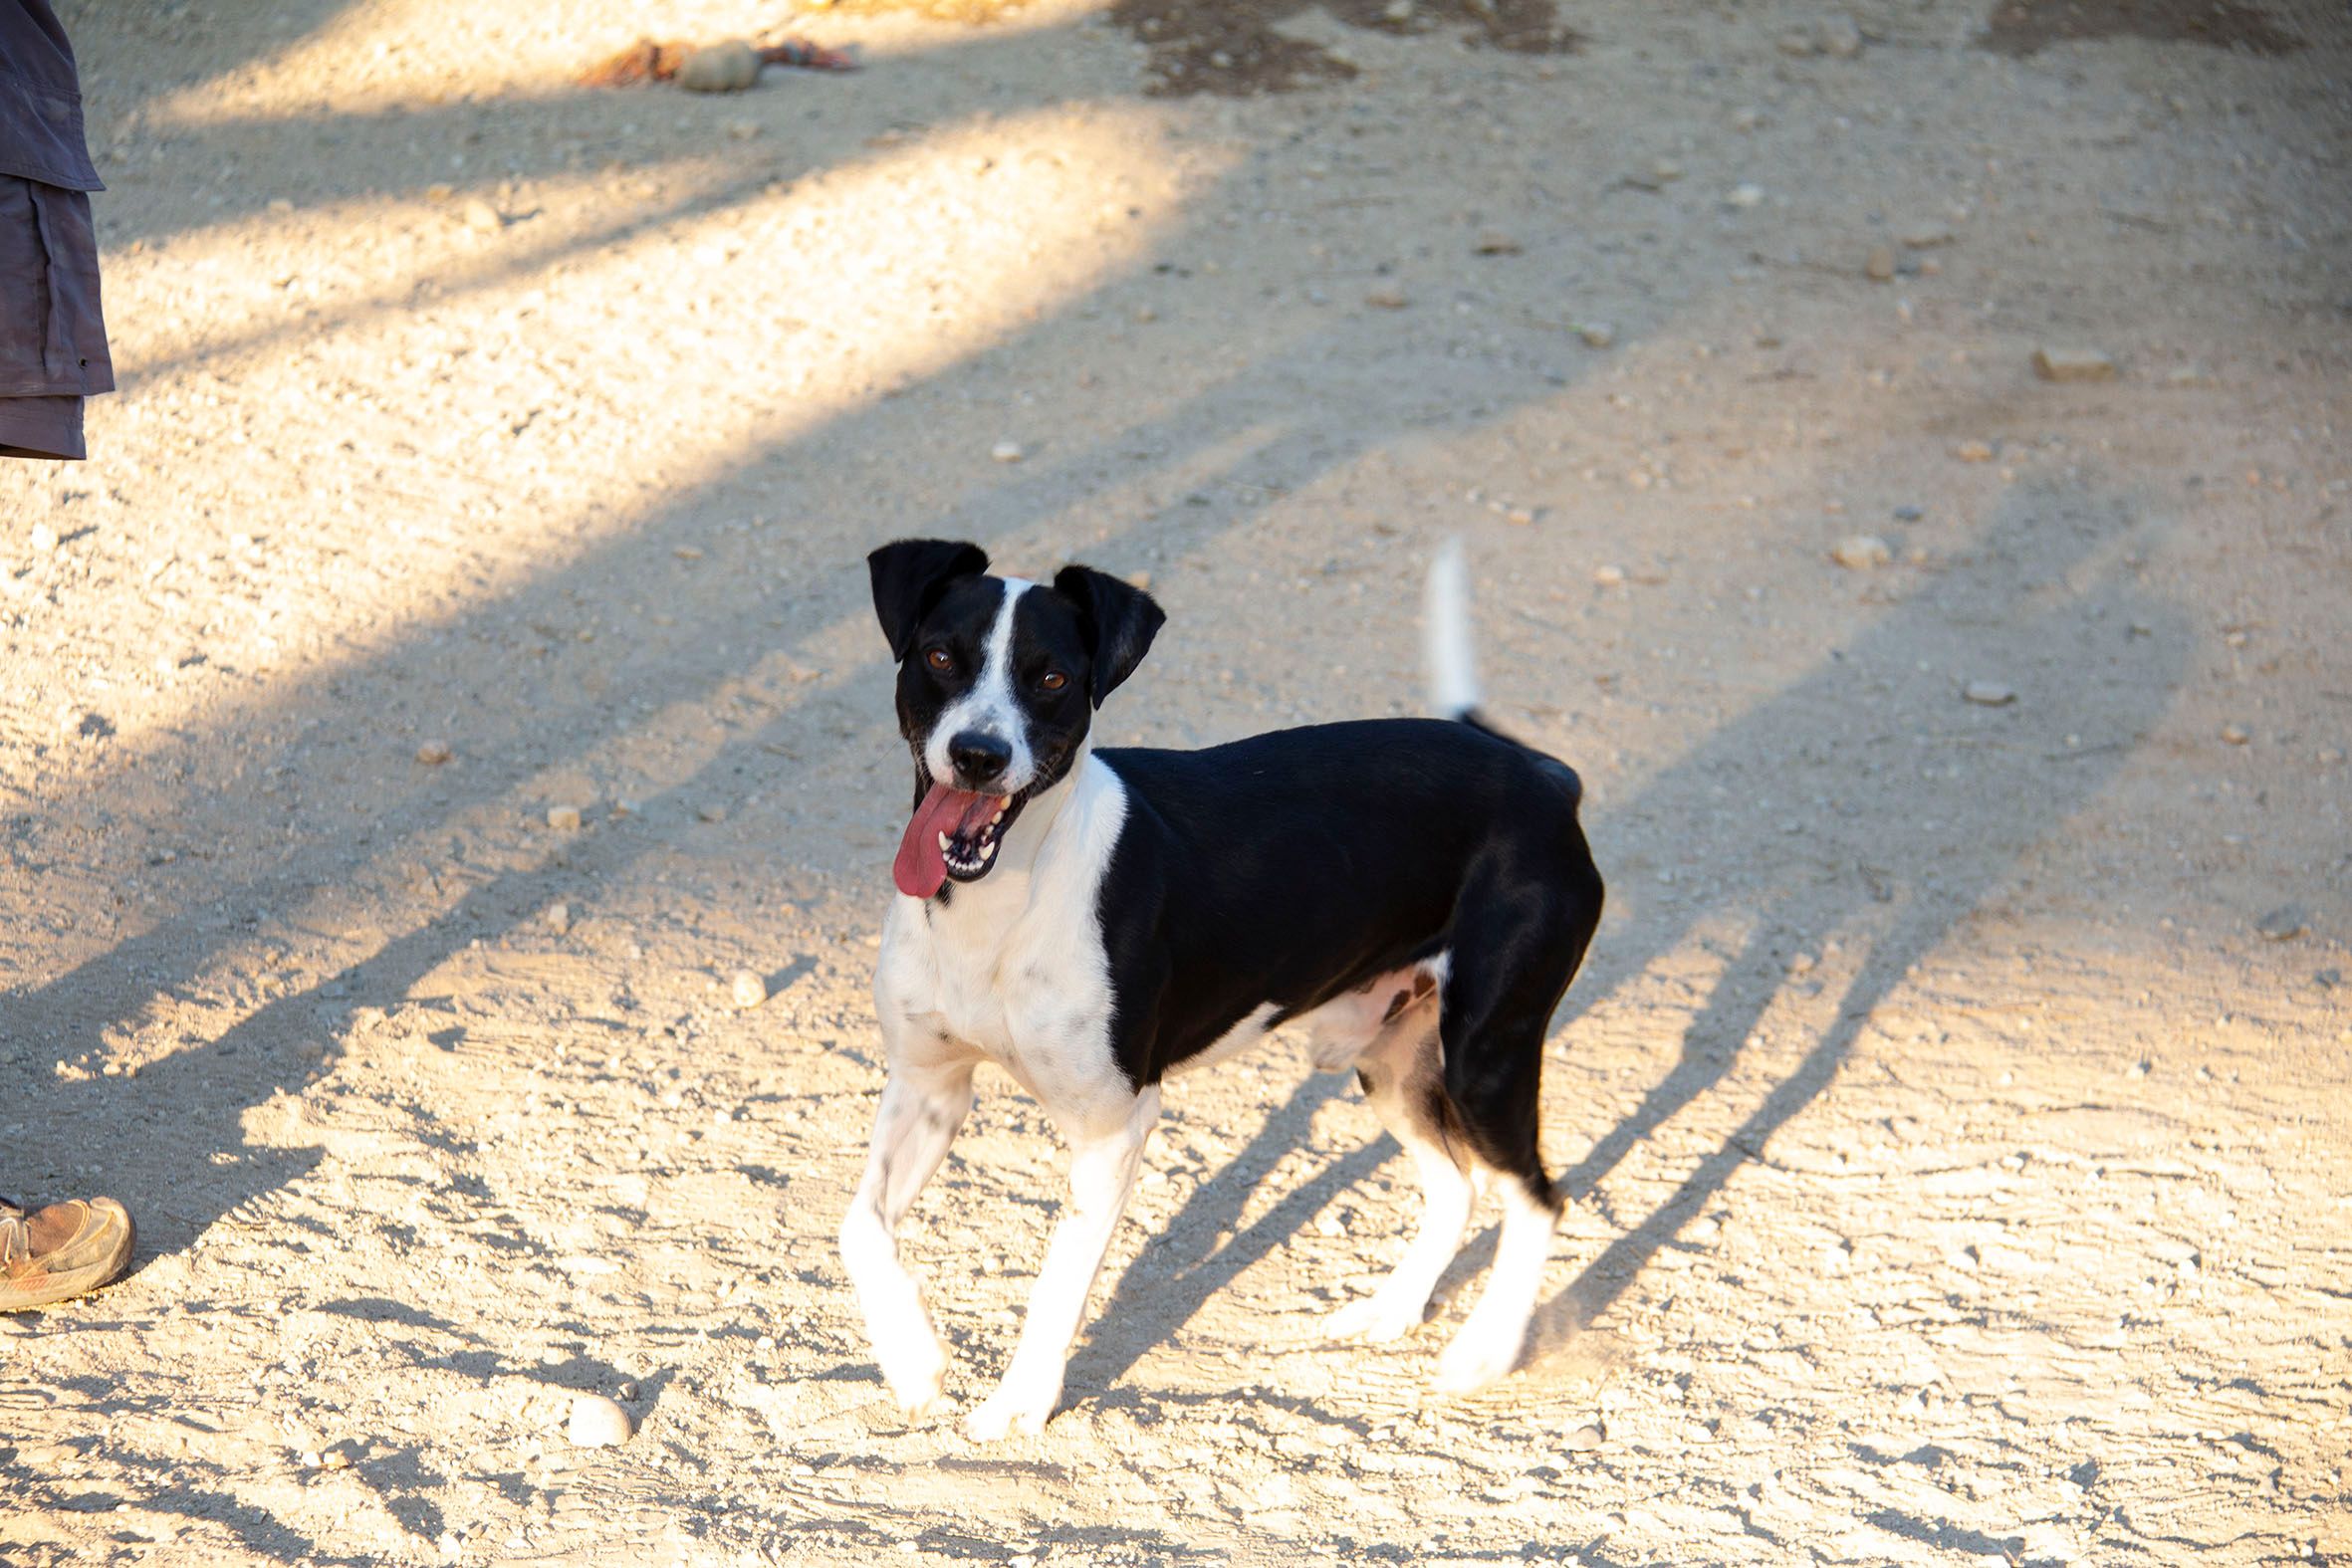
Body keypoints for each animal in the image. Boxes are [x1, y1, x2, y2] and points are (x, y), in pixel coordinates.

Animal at [839, 538, 1604, 1439]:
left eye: (1051, 676)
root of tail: (1543, 776)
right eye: (939, 656)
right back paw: (1392, 1311)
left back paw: (1485, 1351)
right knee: (1458, 1184)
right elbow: (860, 1225)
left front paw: (1020, 1405)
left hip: (1485, 1054)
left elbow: (1059, 1280)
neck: (998, 900)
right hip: (1393, 1062)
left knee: (1536, 1196)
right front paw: (914, 1361)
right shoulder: (930, 1083)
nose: (978, 755)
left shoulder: (1113, 1125)